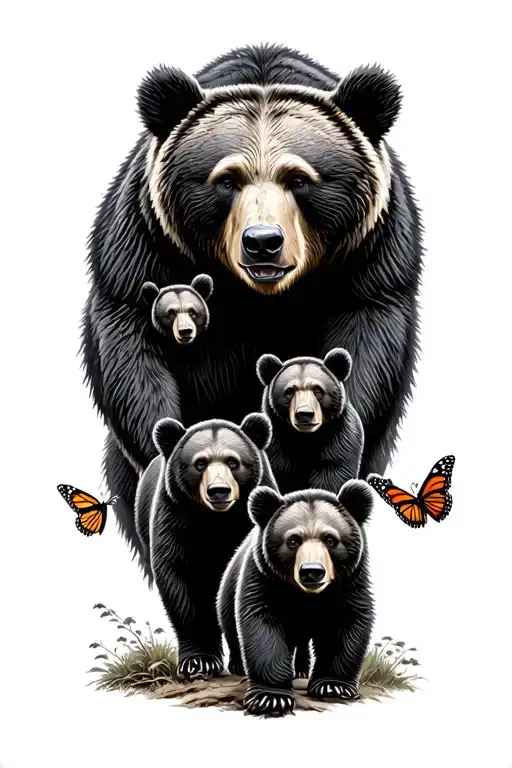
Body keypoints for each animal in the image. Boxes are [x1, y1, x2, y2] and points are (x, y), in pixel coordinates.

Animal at [134, 411, 278, 681]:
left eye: (233, 462)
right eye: (200, 463)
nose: (219, 491)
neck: (215, 520)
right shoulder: (175, 519)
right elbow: (182, 584)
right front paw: (199, 661)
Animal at [217, 480, 374, 717]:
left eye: (330, 539)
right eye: (293, 541)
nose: (312, 571)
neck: (306, 595)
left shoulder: (349, 583)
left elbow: (345, 624)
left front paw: (333, 685)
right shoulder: (264, 578)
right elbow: (262, 626)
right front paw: (271, 697)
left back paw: (301, 669)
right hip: (228, 588)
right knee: (230, 625)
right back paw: (239, 665)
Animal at [257, 347, 364, 495]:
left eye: (317, 390)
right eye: (289, 392)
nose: (304, 414)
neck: (307, 439)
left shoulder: (340, 440)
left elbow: (333, 475)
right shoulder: (275, 444)